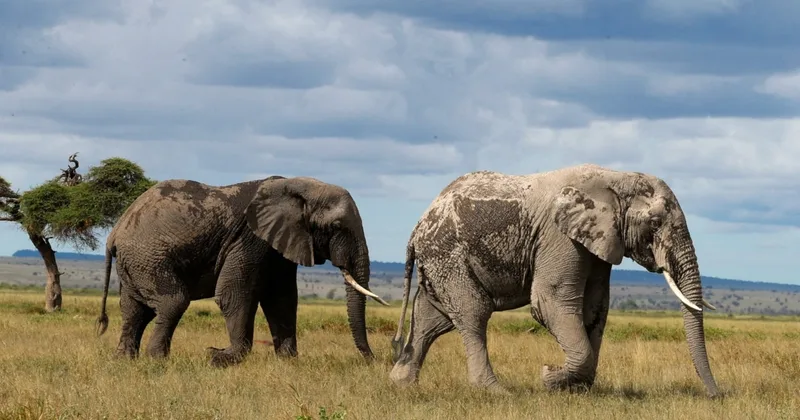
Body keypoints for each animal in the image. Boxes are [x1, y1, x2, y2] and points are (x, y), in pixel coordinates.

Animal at [95, 175, 388, 367]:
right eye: (336, 226)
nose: (373, 361)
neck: (295, 186)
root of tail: (115, 232)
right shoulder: (250, 238)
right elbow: (234, 294)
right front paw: (220, 357)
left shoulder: (279, 244)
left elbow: (282, 299)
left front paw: (288, 362)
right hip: (148, 258)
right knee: (172, 302)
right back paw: (157, 361)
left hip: (136, 263)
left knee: (134, 310)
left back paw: (124, 361)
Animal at [388, 163, 720, 397]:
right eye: (654, 223)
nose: (717, 395)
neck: (615, 178)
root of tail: (419, 225)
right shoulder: (558, 235)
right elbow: (550, 300)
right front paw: (549, 377)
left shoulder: (598, 240)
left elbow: (595, 307)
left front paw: (576, 389)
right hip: (447, 253)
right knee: (473, 312)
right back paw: (495, 391)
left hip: (440, 260)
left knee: (431, 318)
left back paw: (401, 384)